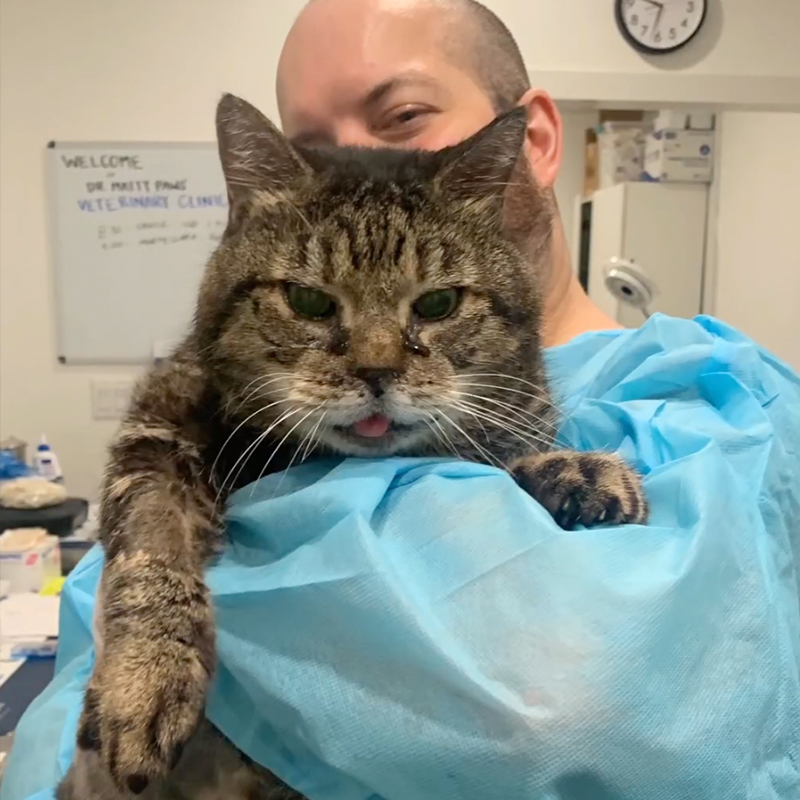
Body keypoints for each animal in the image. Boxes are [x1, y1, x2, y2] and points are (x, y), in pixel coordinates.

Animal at [56, 95, 648, 800]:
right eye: (309, 301)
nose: (376, 370)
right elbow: (149, 551)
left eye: (438, 303)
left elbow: (491, 460)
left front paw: (579, 470)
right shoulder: (156, 430)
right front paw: (143, 678)